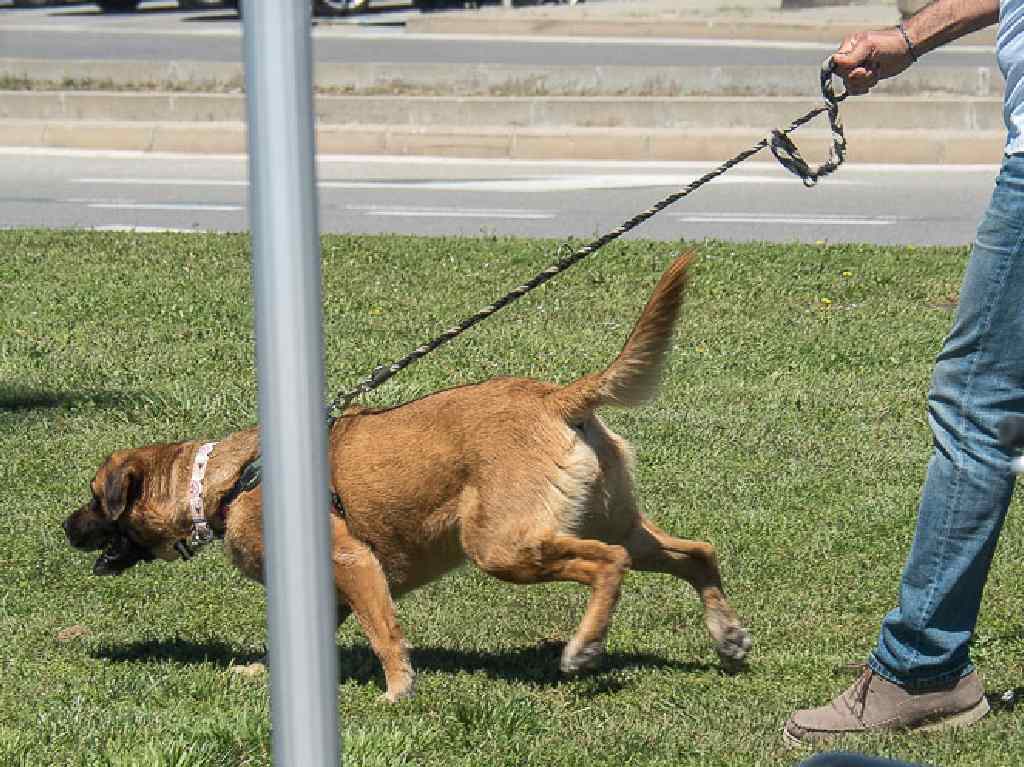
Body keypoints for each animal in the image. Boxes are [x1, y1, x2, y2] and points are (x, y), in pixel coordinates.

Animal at [64, 252, 753, 700]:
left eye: (96, 499)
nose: (64, 526)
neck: (227, 483)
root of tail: (557, 397)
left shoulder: (353, 564)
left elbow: (384, 634)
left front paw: (398, 693)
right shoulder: (328, 590)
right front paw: (265, 675)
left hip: (501, 545)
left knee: (608, 563)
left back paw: (584, 646)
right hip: (613, 520)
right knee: (696, 552)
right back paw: (726, 637)